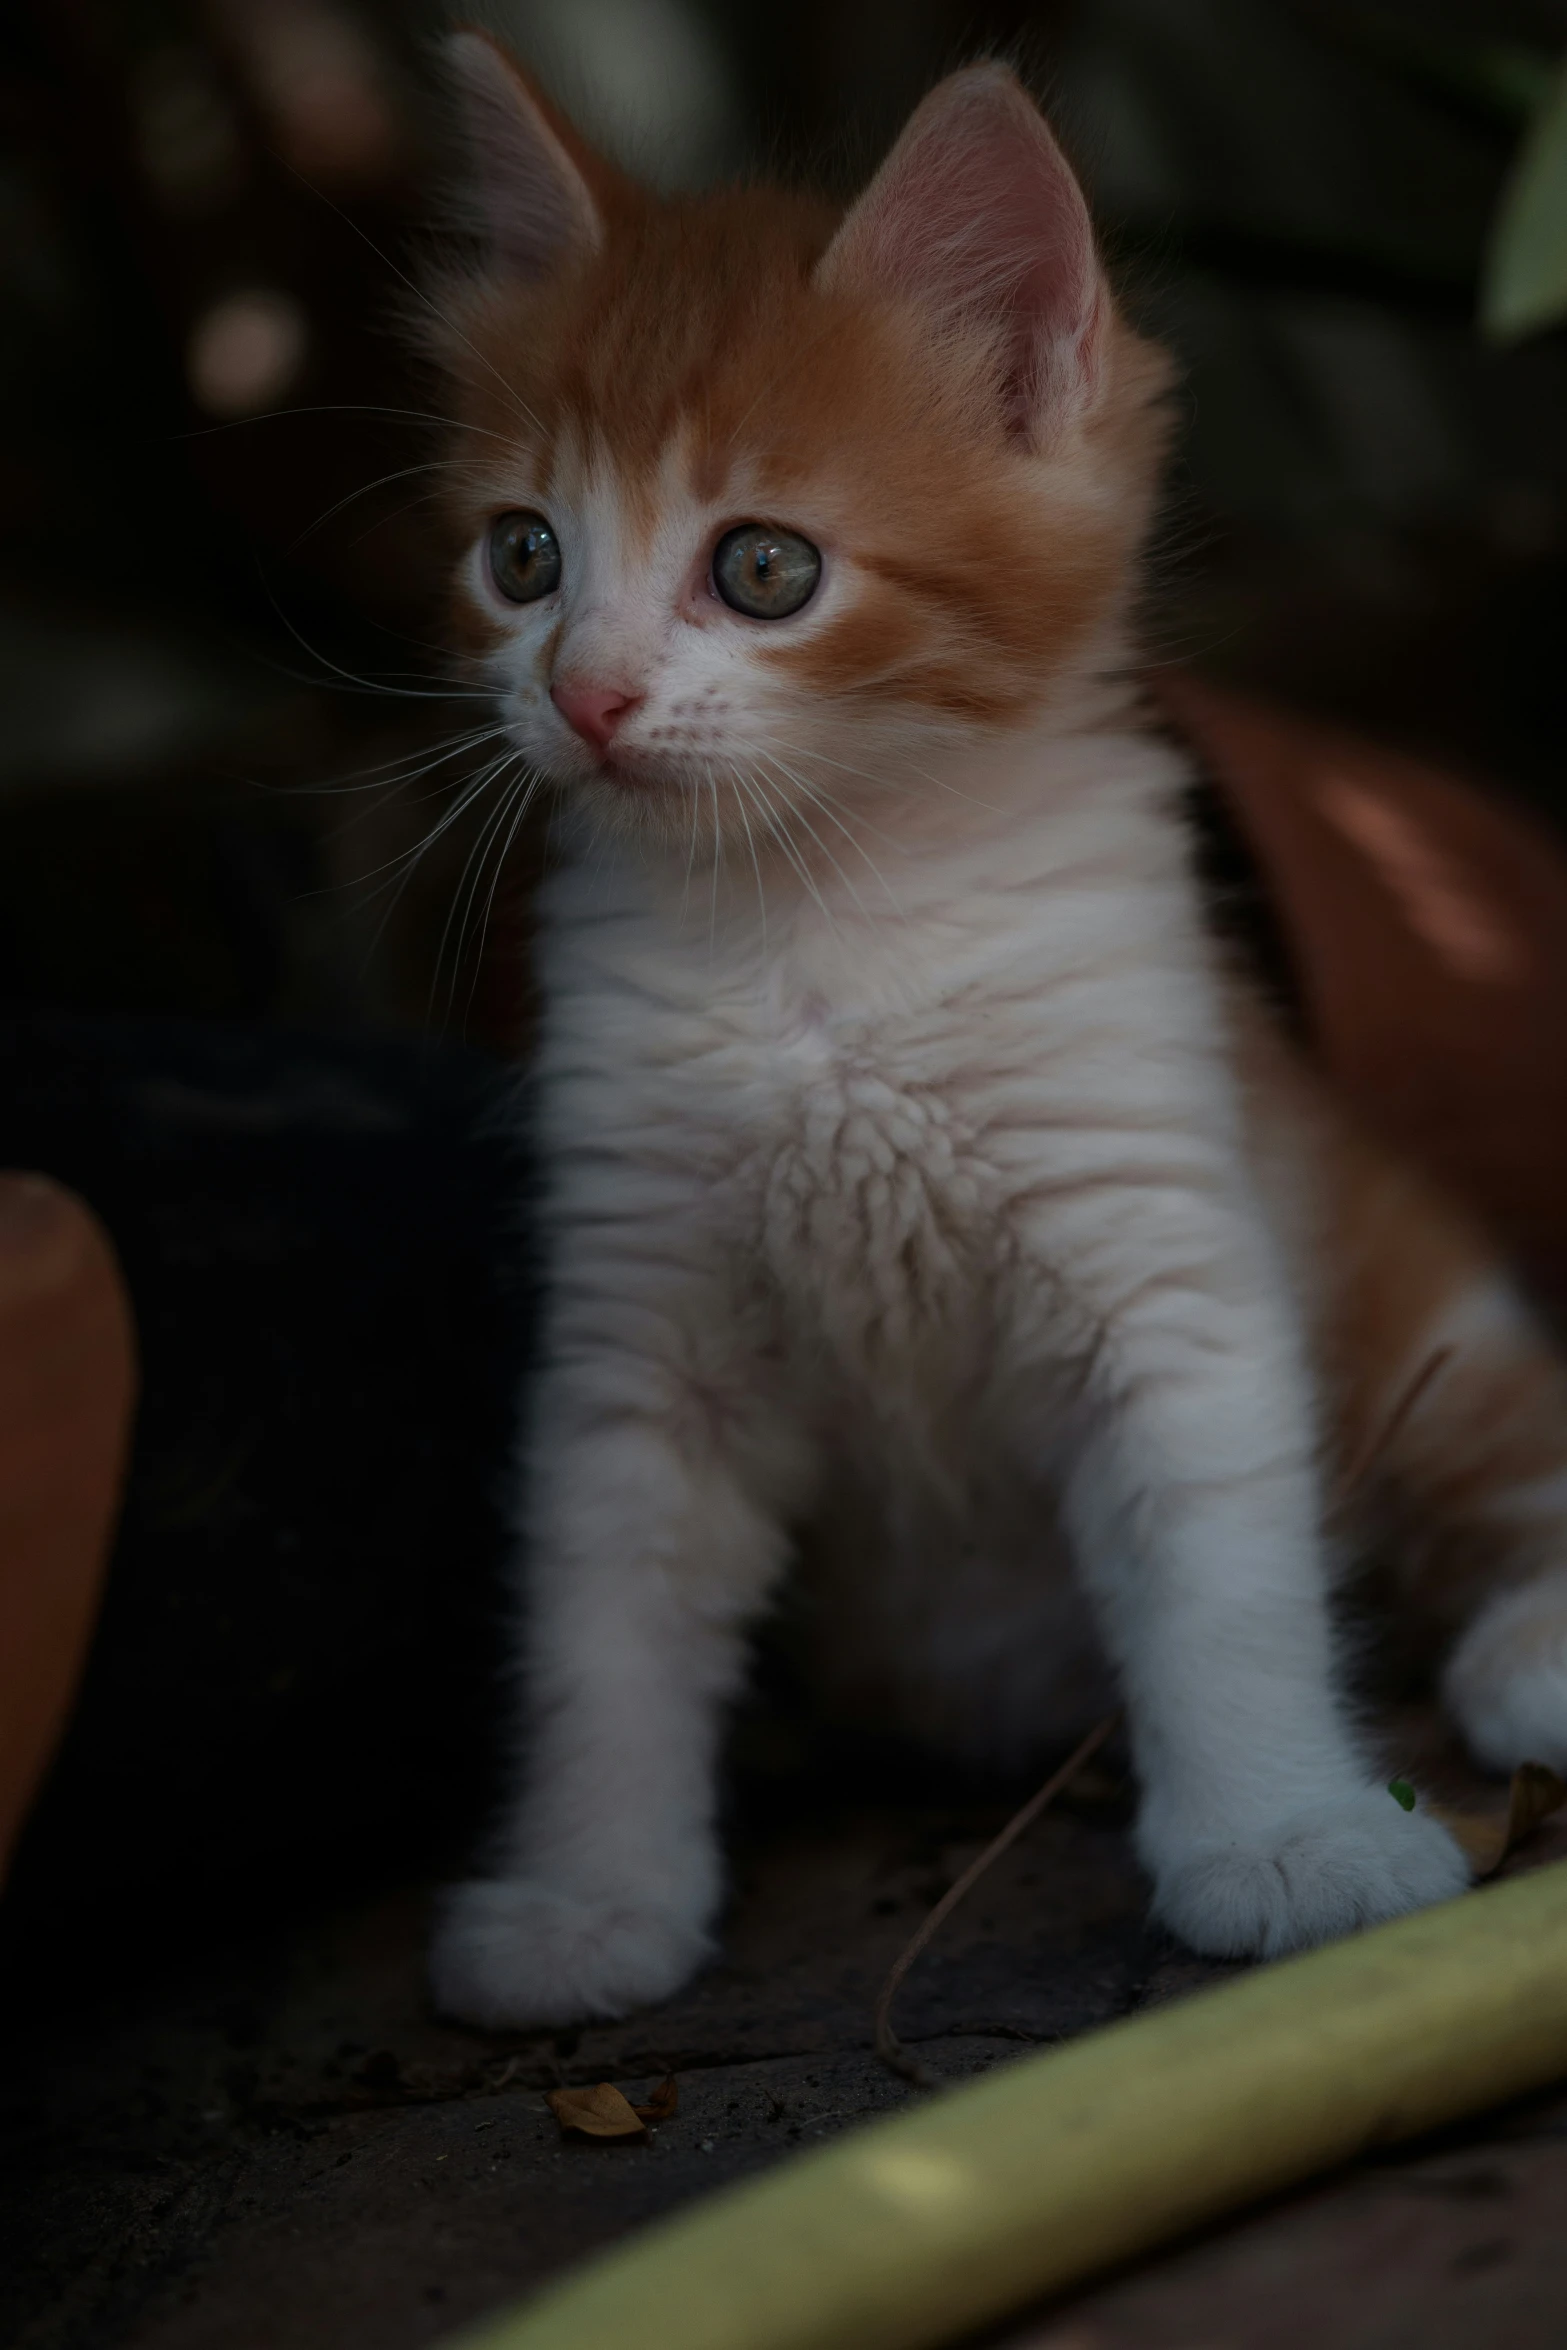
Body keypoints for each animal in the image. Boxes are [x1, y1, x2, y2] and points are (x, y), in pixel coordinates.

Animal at [422, 32, 1567, 2020]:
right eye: (522, 557)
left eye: (765, 570)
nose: (582, 695)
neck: (815, 936)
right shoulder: (642, 1345)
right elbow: (601, 1633)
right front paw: (589, 1897)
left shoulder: (1161, 1253)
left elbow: (1223, 1586)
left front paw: (1285, 1838)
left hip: (1412, 1293)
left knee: (1507, 1452)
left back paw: (1532, 1653)